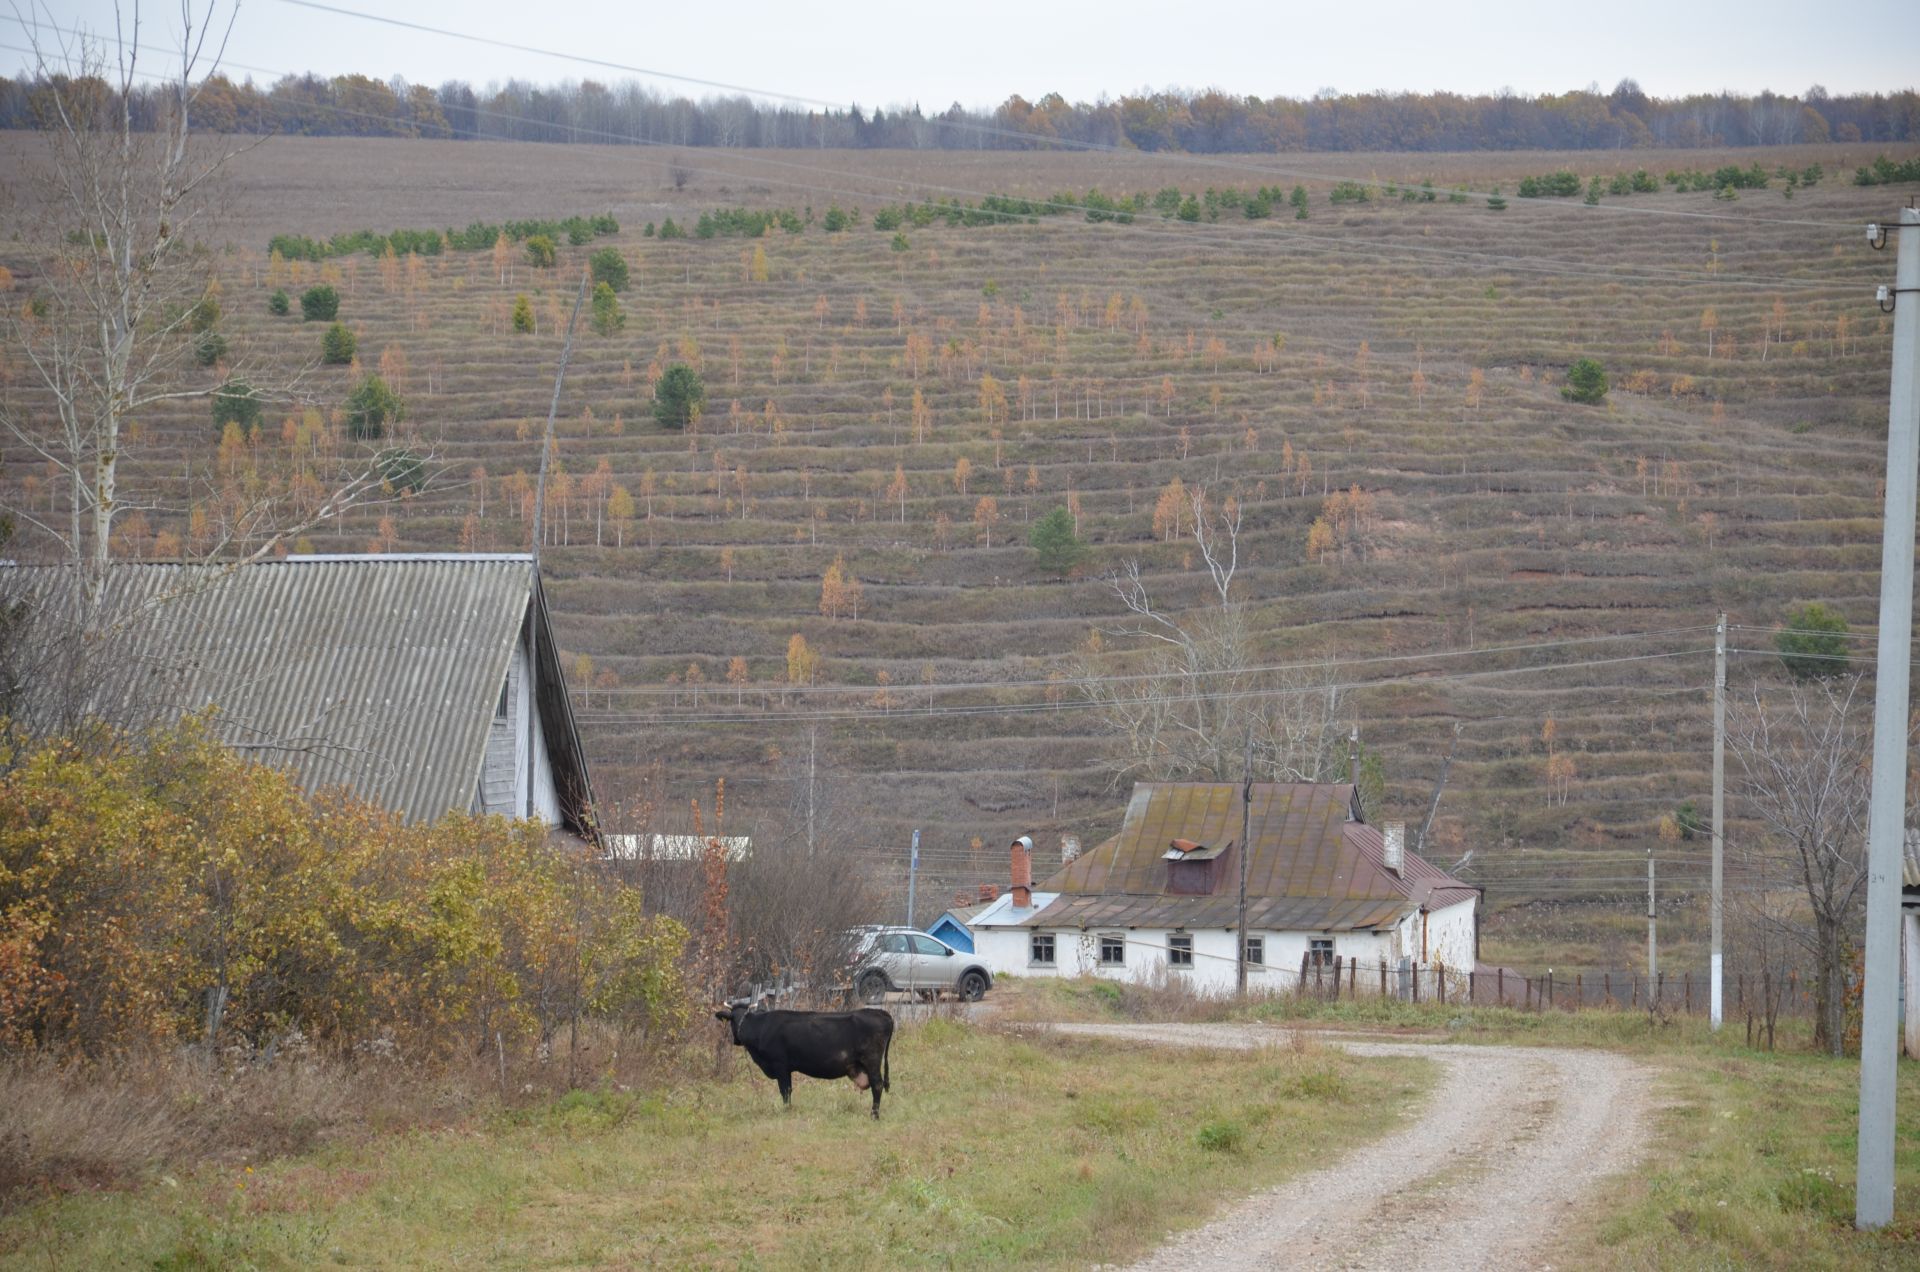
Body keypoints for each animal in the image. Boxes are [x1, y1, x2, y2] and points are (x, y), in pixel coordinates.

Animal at [718, 999, 894, 1122]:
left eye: (731, 1020)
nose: (735, 1040)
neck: (760, 1027)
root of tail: (881, 1013)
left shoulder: (780, 1065)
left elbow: (785, 1091)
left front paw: (786, 1111)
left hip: (872, 1060)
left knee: (877, 1085)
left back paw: (874, 1116)